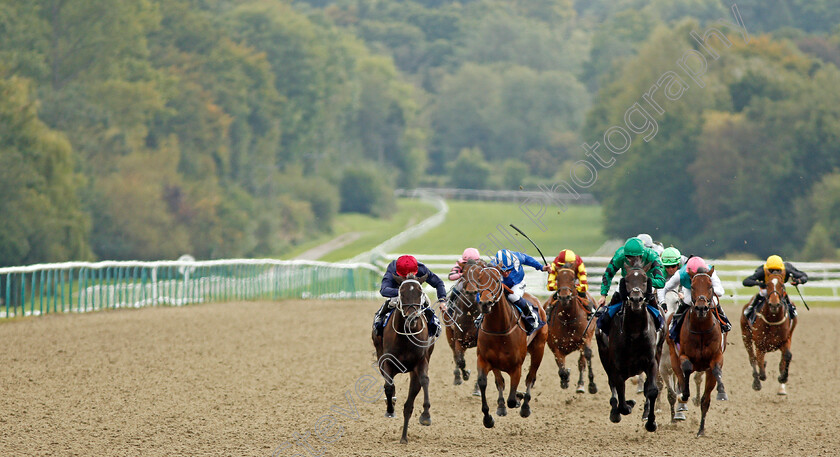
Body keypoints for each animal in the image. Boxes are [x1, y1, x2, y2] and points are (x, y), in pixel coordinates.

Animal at [376, 274, 440, 442]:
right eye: (402, 292)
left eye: (420, 292)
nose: (412, 318)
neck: (406, 337)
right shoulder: (386, 361)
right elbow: (389, 386)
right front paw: (390, 409)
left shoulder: (421, 362)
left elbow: (424, 380)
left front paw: (426, 415)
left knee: (409, 404)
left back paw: (404, 437)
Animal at [462, 262, 548, 426]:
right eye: (480, 280)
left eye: (496, 280)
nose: (485, 303)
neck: (499, 329)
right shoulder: (485, 359)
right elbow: (486, 382)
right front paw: (488, 417)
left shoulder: (516, 367)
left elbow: (512, 398)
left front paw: (519, 398)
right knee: (502, 382)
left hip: (539, 349)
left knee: (530, 377)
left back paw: (525, 406)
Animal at [544, 266, 596, 394]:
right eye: (557, 278)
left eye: (573, 279)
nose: (564, 297)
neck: (568, 318)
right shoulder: (554, 345)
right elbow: (561, 367)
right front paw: (565, 378)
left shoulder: (585, 337)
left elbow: (587, 356)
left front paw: (592, 385)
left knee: (581, 362)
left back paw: (580, 385)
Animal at [596, 258, 664, 432]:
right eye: (626, 280)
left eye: (645, 280)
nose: (636, 299)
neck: (634, 332)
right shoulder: (617, 365)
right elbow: (621, 397)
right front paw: (628, 405)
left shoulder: (651, 361)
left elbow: (652, 390)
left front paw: (651, 422)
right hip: (605, 358)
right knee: (612, 384)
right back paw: (615, 411)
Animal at [668, 266, 724, 436]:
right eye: (692, 286)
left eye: (710, 286)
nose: (701, 308)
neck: (701, 329)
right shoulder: (683, 355)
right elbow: (686, 368)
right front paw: (684, 394)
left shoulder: (716, 358)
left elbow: (716, 372)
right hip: (672, 357)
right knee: (680, 377)